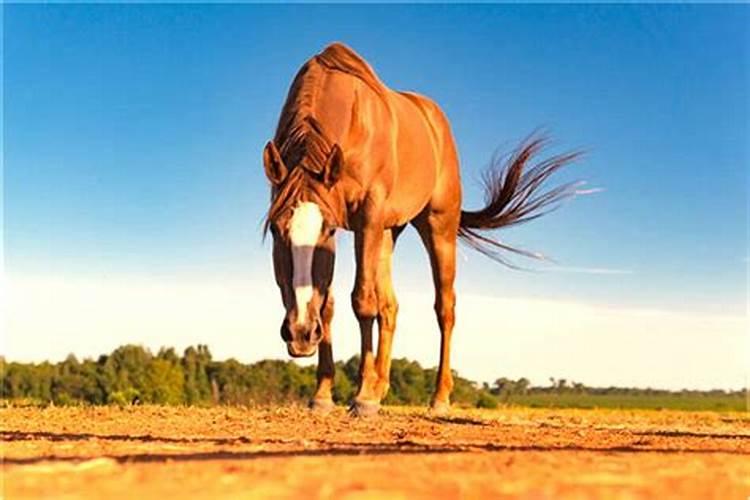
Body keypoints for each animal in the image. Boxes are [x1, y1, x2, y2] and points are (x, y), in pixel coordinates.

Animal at [262, 42, 580, 414]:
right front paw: (324, 395)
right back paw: (380, 386)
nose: (300, 334)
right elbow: (330, 304)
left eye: (325, 231)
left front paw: (362, 397)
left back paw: (437, 398)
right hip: (388, 232)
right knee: (390, 306)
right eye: (276, 230)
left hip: (437, 226)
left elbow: (362, 301)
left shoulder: (366, 217)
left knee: (444, 308)